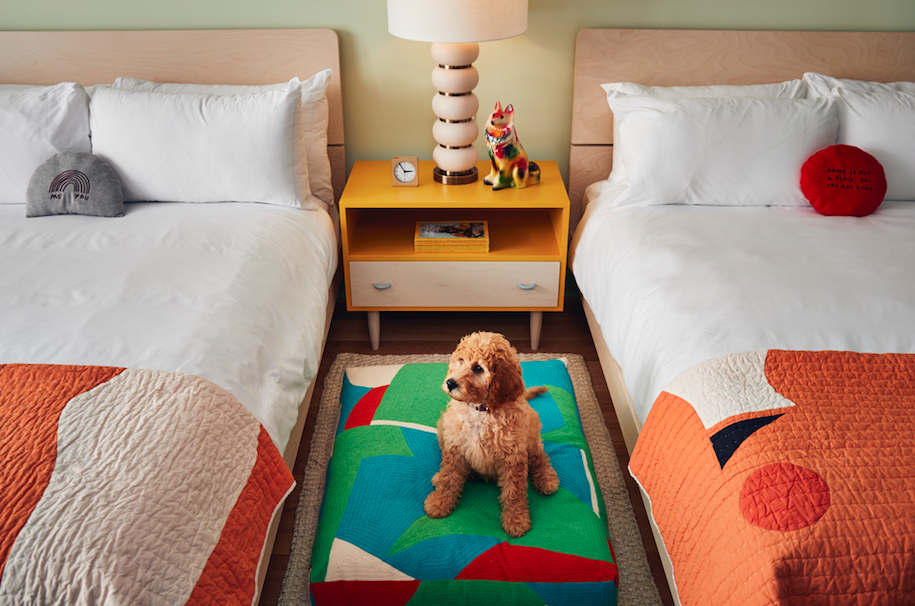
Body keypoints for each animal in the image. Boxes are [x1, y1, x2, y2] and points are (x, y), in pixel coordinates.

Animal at [426, 334, 560, 540]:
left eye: (478, 368)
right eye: (461, 360)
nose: (450, 383)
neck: (481, 410)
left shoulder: (513, 456)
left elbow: (514, 492)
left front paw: (516, 520)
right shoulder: (454, 445)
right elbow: (449, 478)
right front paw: (439, 503)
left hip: (531, 432)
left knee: (539, 456)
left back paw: (546, 478)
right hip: (442, 426)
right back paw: (441, 477)